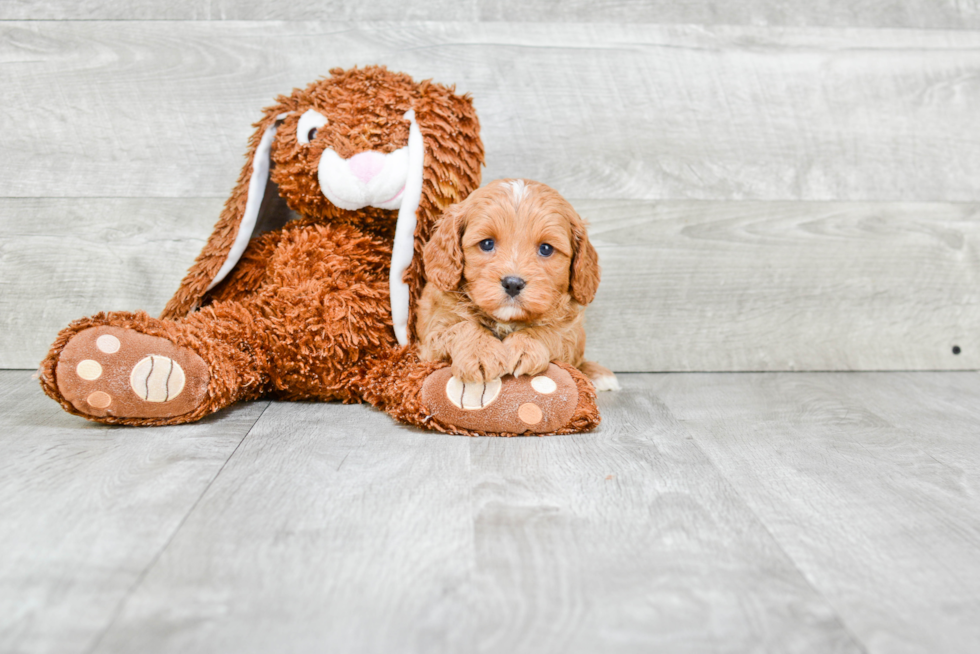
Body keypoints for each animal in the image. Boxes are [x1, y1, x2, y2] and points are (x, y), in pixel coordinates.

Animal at [416, 179, 620, 392]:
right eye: (487, 243)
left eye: (546, 248)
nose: (513, 284)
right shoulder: (432, 335)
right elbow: (462, 326)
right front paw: (479, 353)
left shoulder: (571, 331)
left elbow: (550, 330)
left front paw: (524, 346)